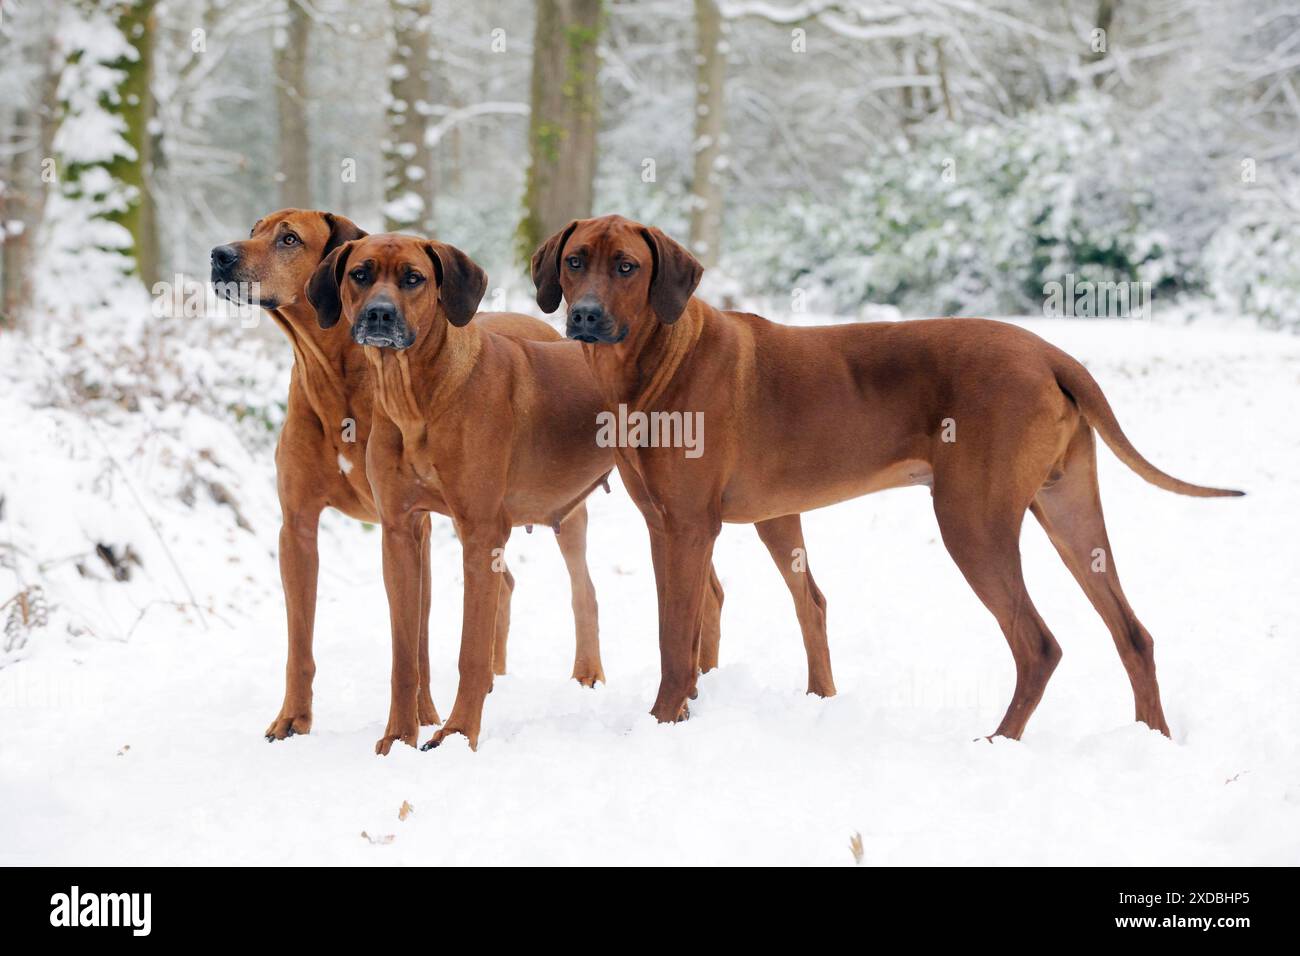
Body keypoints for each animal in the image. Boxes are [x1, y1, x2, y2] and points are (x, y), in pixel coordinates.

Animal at [208, 209, 603, 749]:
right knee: (506, 585)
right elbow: (301, 640)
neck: (339, 380)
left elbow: (419, 639)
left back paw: (583, 672)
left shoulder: (417, 526)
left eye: (289, 239)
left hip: (564, 511)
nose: (220, 255)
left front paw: (427, 717)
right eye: (254, 231)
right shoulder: (299, 526)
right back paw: (495, 674)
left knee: (582, 588)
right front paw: (294, 718)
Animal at [533, 214, 1242, 738]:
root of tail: (1049, 352)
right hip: (1070, 511)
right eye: (576, 262)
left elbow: (674, 640)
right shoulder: (730, 519)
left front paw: (659, 724)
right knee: (1133, 634)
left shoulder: (682, 528)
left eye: (628, 266)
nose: (586, 316)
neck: (658, 357)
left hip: (972, 521)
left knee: (1039, 645)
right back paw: (1153, 739)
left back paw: (1000, 742)